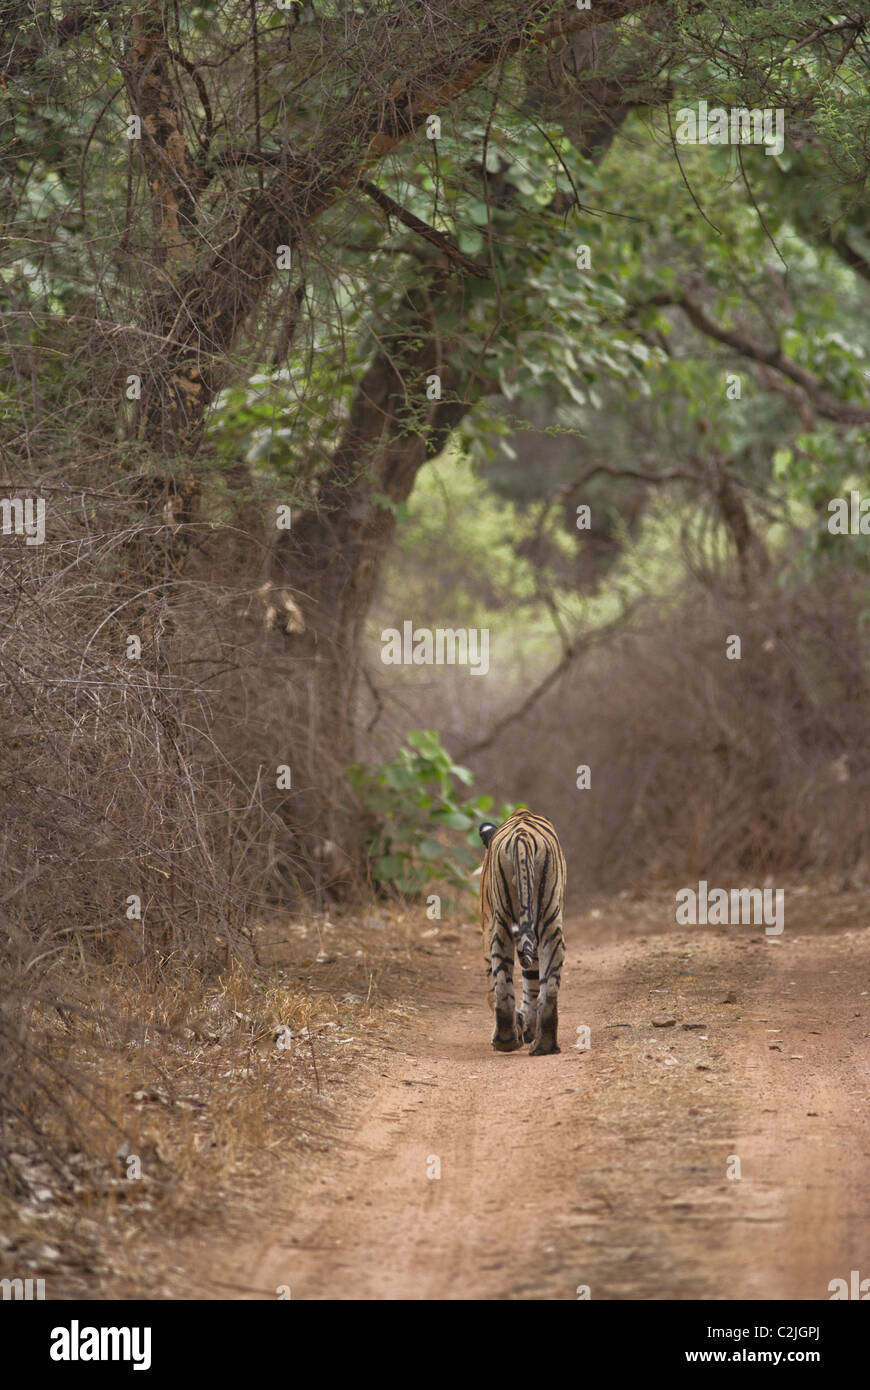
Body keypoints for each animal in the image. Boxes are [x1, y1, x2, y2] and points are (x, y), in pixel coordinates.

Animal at [478, 806, 567, 1050]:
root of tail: (522, 835)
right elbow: (533, 980)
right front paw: (527, 1026)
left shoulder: (487, 929)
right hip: (548, 921)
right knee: (548, 987)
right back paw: (543, 1044)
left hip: (502, 925)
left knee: (501, 984)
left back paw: (506, 1039)